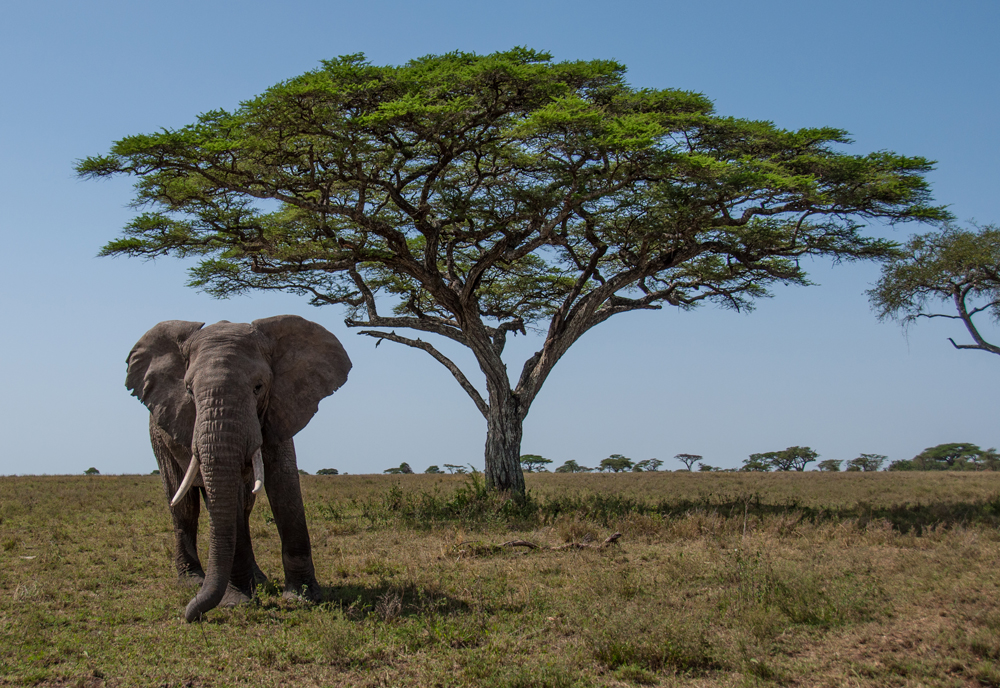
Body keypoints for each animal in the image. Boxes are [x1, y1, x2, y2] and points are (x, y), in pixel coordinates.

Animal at [126, 315, 351, 622]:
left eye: (258, 387)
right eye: (189, 391)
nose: (192, 616)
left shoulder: (280, 406)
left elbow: (284, 484)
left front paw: (303, 597)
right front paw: (237, 603)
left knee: (243, 506)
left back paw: (259, 581)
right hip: (158, 437)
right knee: (184, 506)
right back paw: (193, 581)